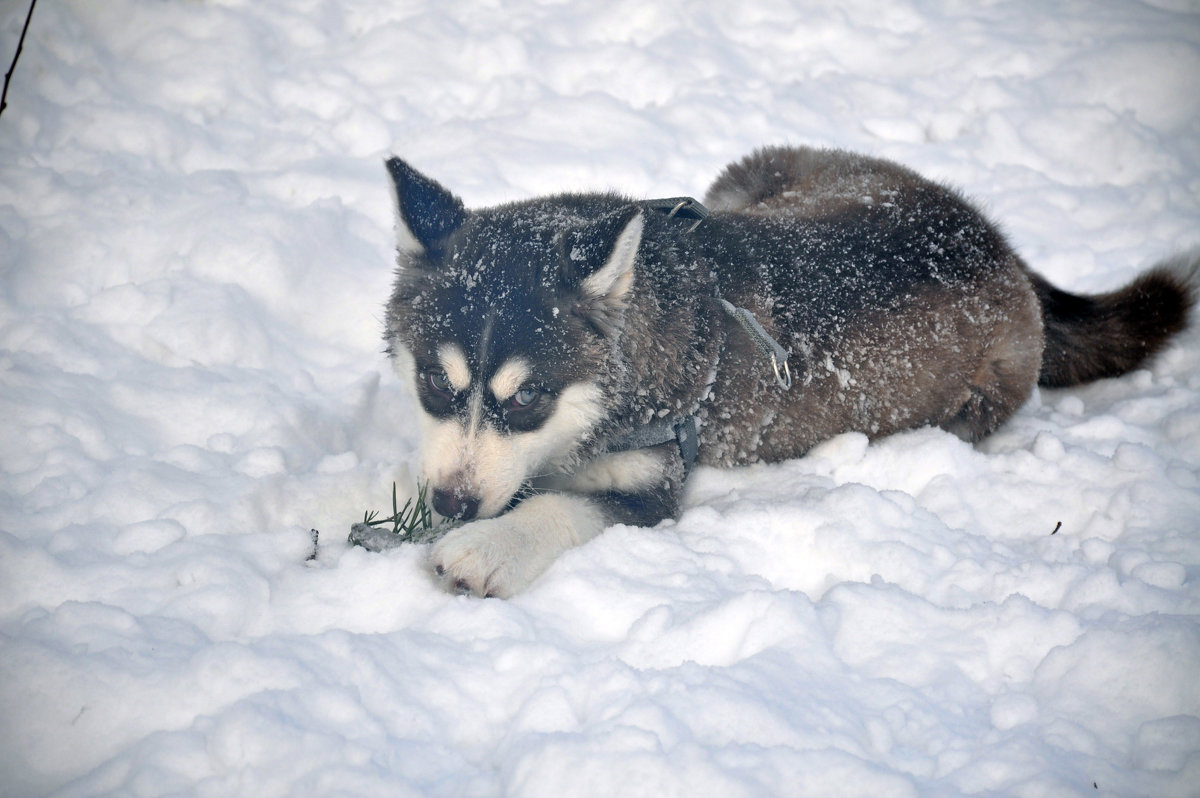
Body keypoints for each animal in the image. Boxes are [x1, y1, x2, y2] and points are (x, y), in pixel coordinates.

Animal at [381, 144, 1190, 597]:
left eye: (529, 399)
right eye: (434, 383)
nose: (451, 503)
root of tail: (996, 241)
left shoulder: (655, 480)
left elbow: (561, 507)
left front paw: (485, 550)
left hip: (978, 400)